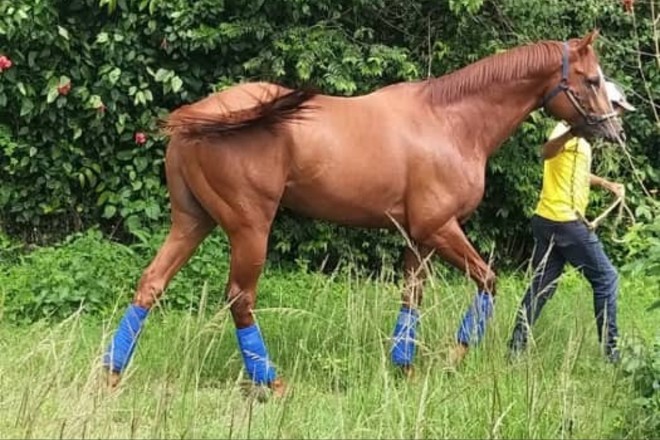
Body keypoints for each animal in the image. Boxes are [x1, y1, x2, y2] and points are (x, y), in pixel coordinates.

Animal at [103, 31, 624, 396]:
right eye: (592, 80)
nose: (614, 131)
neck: (449, 121)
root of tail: (198, 115)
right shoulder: (440, 228)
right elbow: (488, 281)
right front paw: (453, 357)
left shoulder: (418, 237)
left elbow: (411, 298)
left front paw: (406, 367)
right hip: (249, 227)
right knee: (240, 298)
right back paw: (271, 382)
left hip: (192, 222)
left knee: (151, 284)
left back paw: (111, 374)